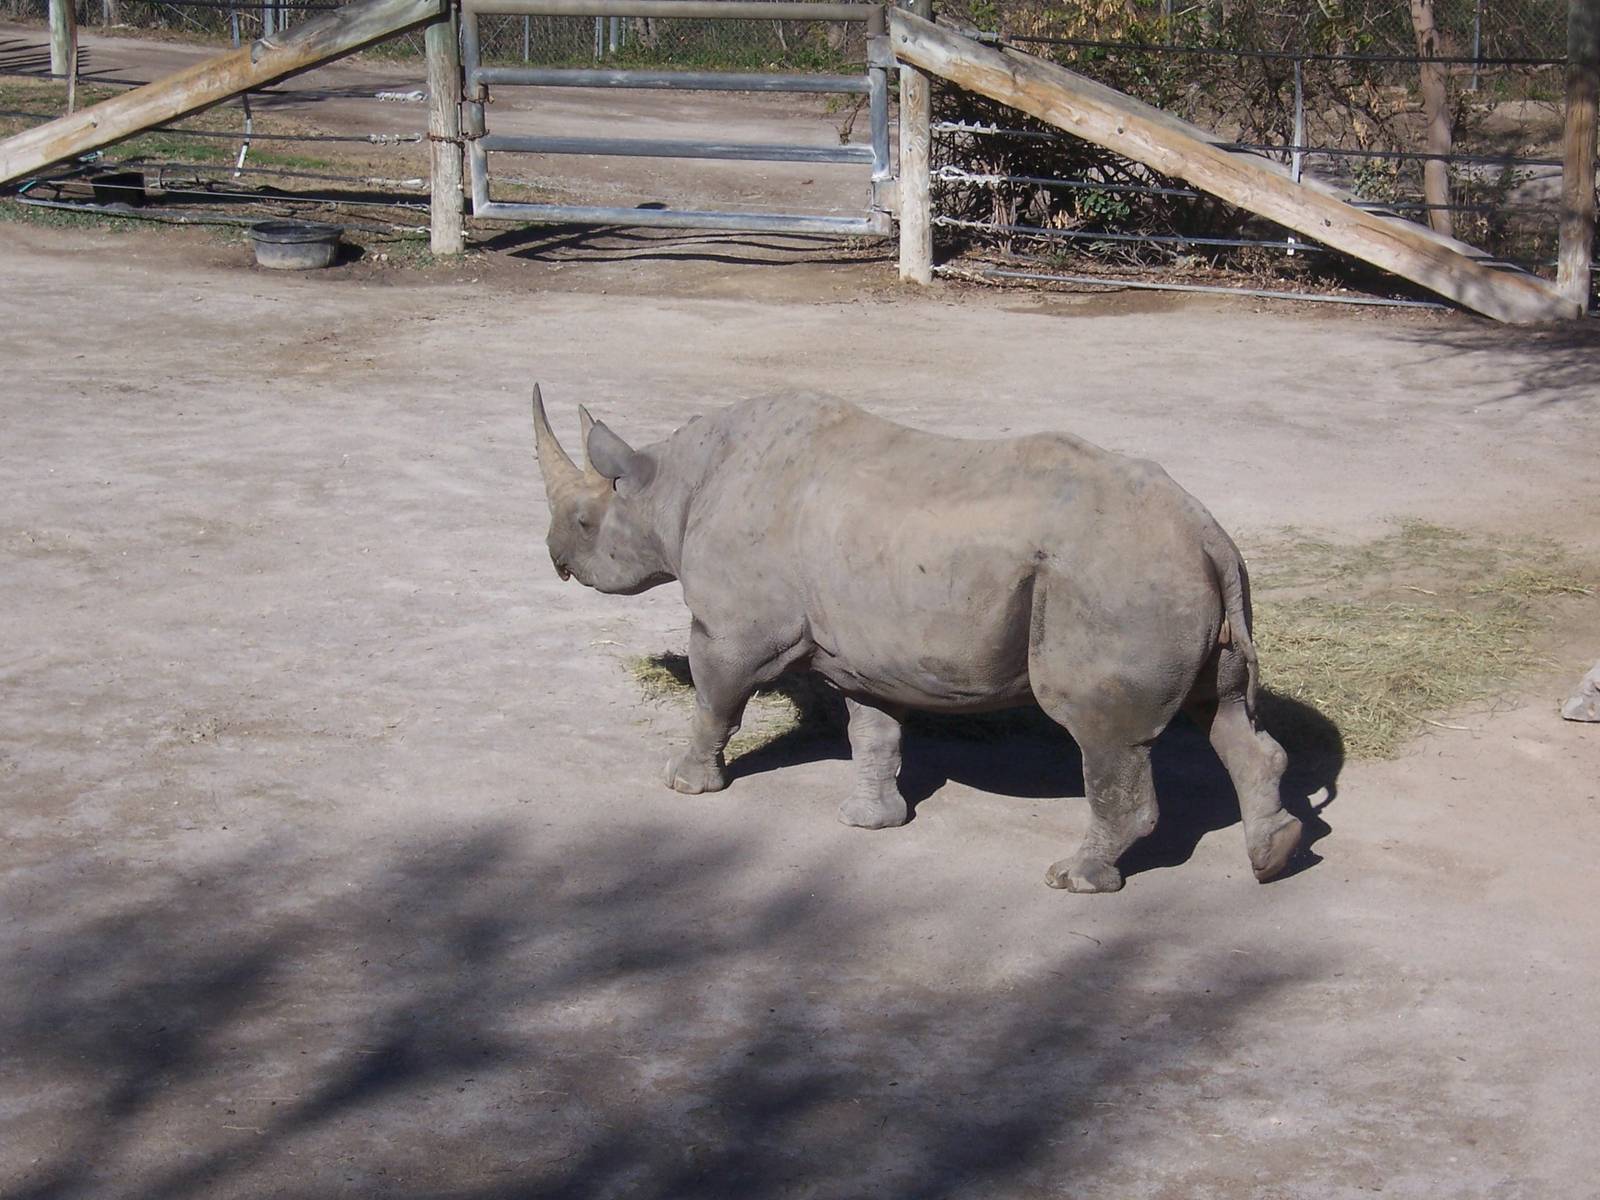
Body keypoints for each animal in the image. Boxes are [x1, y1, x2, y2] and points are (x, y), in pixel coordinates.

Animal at [533, 385, 1302, 892]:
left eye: (584, 522)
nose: (554, 558)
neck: (668, 485)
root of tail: (1208, 536)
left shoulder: (734, 630)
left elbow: (713, 702)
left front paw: (684, 784)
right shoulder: (867, 650)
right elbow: (873, 730)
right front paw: (868, 822)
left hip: (1117, 579)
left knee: (1105, 736)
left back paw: (1074, 878)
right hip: (1171, 574)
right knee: (1223, 711)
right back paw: (1273, 857)